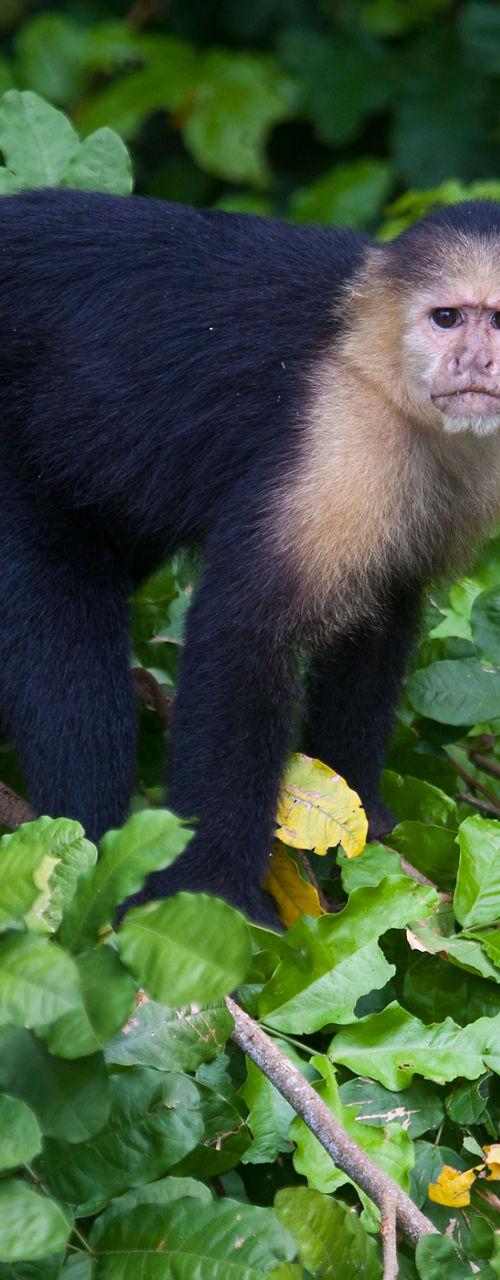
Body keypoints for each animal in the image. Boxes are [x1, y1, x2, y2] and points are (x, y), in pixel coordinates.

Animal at [1, 190, 500, 927]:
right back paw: (93, 848)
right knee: (60, 611)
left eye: (498, 322)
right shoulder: (341, 433)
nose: (475, 364)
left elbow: (381, 619)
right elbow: (245, 636)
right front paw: (214, 890)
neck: (373, 361)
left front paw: (369, 815)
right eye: (448, 318)